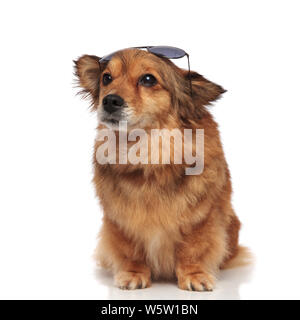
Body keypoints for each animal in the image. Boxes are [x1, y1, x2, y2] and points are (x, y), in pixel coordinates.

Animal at [74, 48, 247, 292]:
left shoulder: (201, 217)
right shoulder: (121, 220)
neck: (147, 154)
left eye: (148, 79)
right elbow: (130, 249)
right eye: (106, 78)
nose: (109, 100)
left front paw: (194, 275)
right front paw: (133, 273)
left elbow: (193, 248)